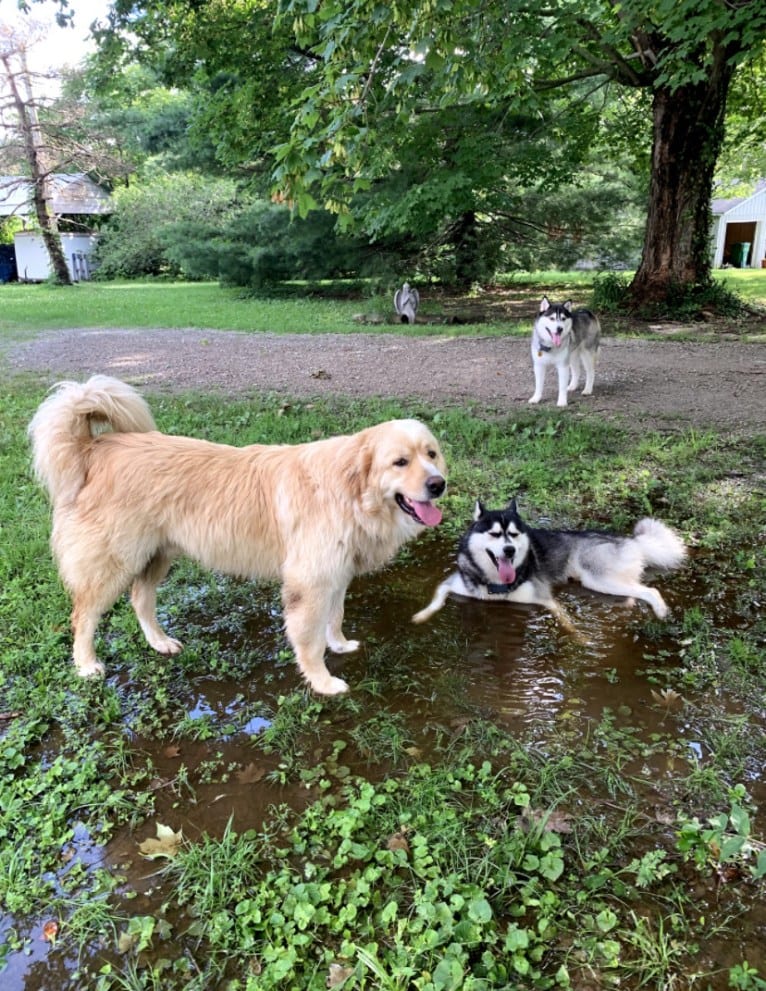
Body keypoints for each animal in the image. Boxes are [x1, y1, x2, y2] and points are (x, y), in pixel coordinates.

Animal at [30, 376, 448, 692]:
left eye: (431, 454)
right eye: (400, 462)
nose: (438, 484)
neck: (349, 491)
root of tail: (94, 449)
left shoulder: (335, 576)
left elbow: (335, 617)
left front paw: (340, 644)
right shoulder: (309, 583)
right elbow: (310, 641)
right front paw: (323, 682)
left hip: (157, 555)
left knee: (140, 600)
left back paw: (160, 642)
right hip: (114, 564)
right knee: (83, 616)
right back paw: (86, 665)